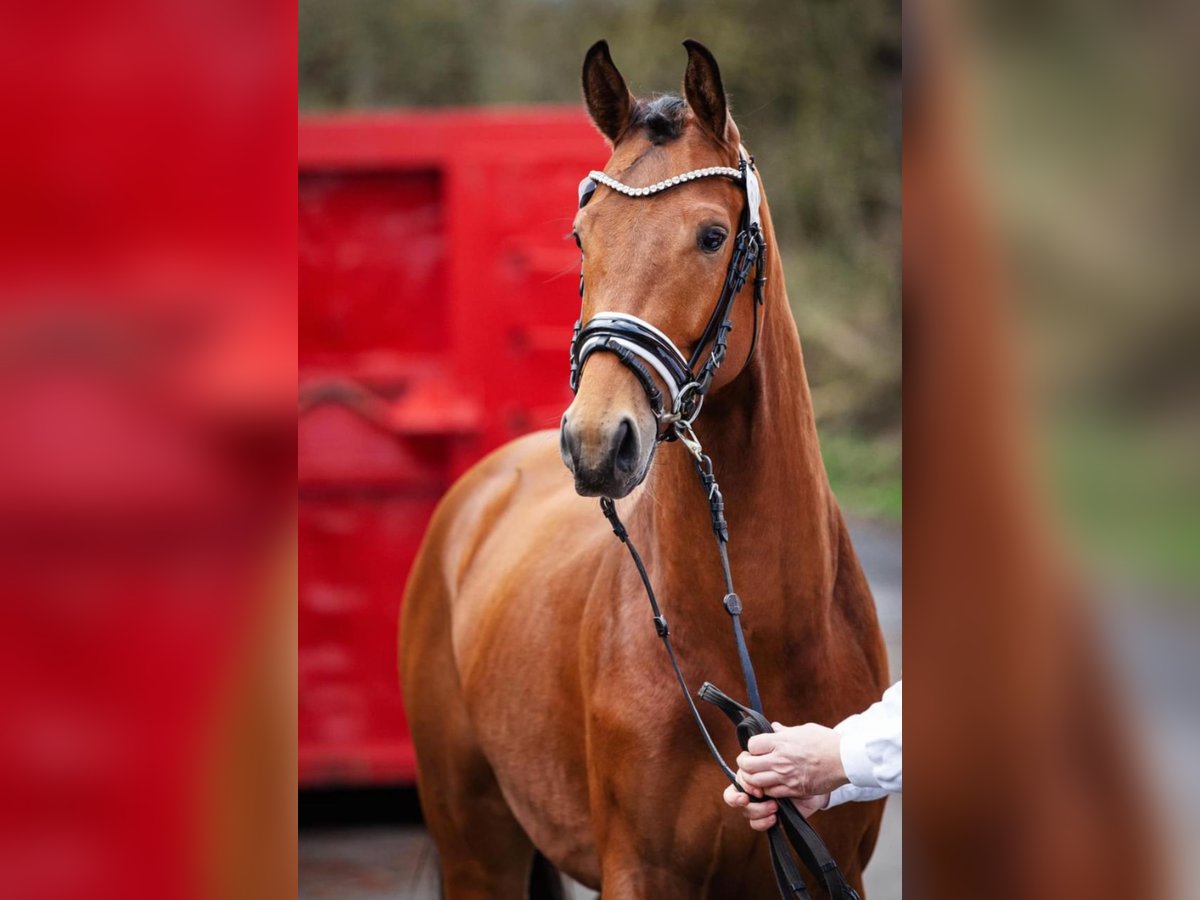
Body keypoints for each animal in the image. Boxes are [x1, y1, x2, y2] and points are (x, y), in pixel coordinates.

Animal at [403, 40, 892, 900]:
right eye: (580, 235)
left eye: (712, 235)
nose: (597, 443)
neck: (760, 633)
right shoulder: (639, 870)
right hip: (475, 847)